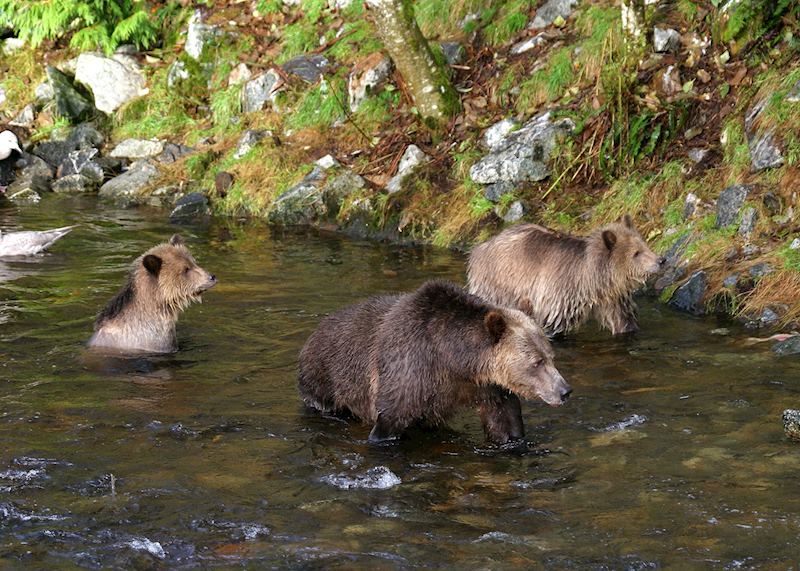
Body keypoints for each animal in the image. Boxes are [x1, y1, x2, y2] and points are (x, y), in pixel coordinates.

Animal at [297, 279, 571, 443]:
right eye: (536, 362)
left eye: (550, 357)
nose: (565, 390)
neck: (451, 360)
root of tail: (317, 329)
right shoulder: (407, 371)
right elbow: (389, 419)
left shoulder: (488, 386)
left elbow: (503, 420)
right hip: (324, 377)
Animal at [467, 215, 664, 337]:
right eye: (636, 253)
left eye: (644, 245)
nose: (661, 260)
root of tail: (481, 246)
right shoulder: (562, 292)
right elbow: (554, 323)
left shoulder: (612, 298)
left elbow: (623, 320)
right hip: (501, 285)